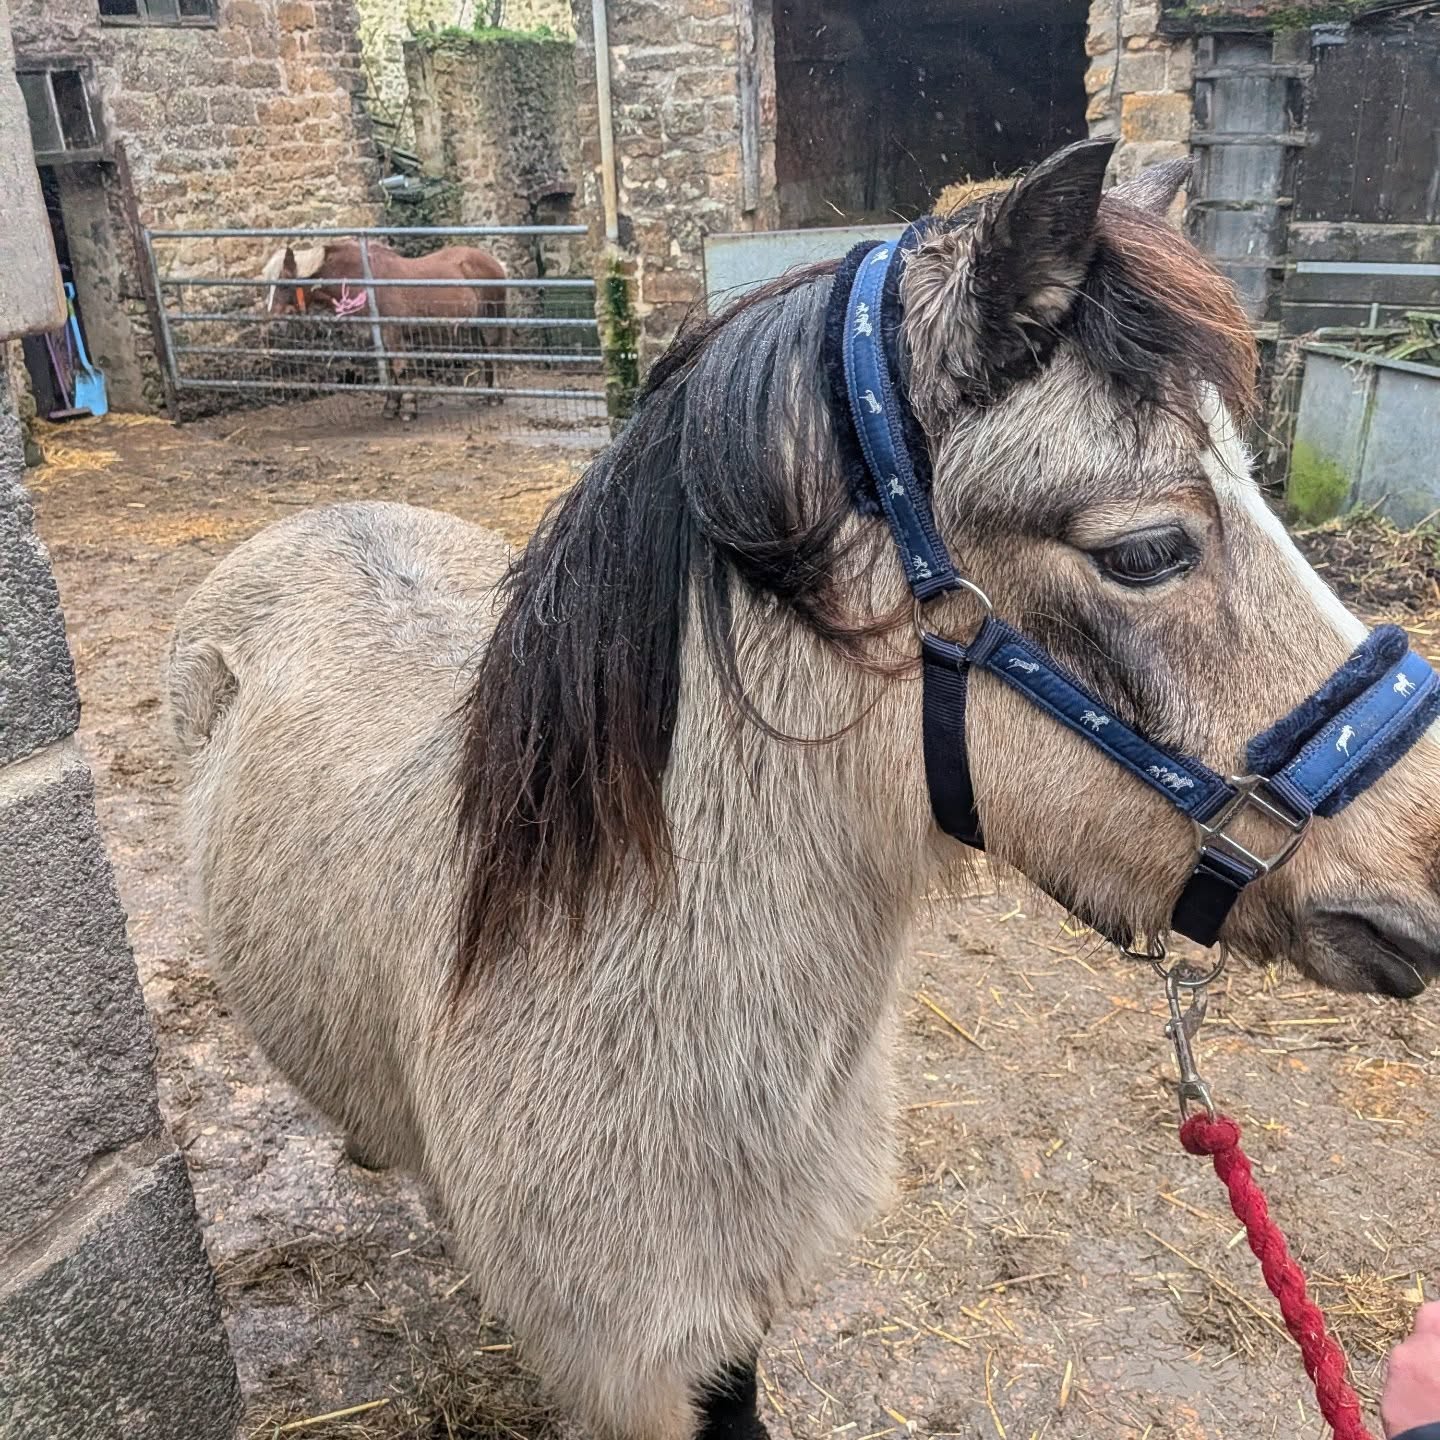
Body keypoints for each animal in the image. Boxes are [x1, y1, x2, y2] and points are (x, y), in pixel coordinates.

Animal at [259, 239, 507, 419]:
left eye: (285, 285)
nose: (274, 325)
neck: (366, 281)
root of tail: (494, 262)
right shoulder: (381, 337)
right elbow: (389, 369)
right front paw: (391, 406)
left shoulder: (393, 333)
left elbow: (399, 368)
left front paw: (408, 408)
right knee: (486, 354)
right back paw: (488, 394)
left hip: (491, 318)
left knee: (495, 352)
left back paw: (496, 395)